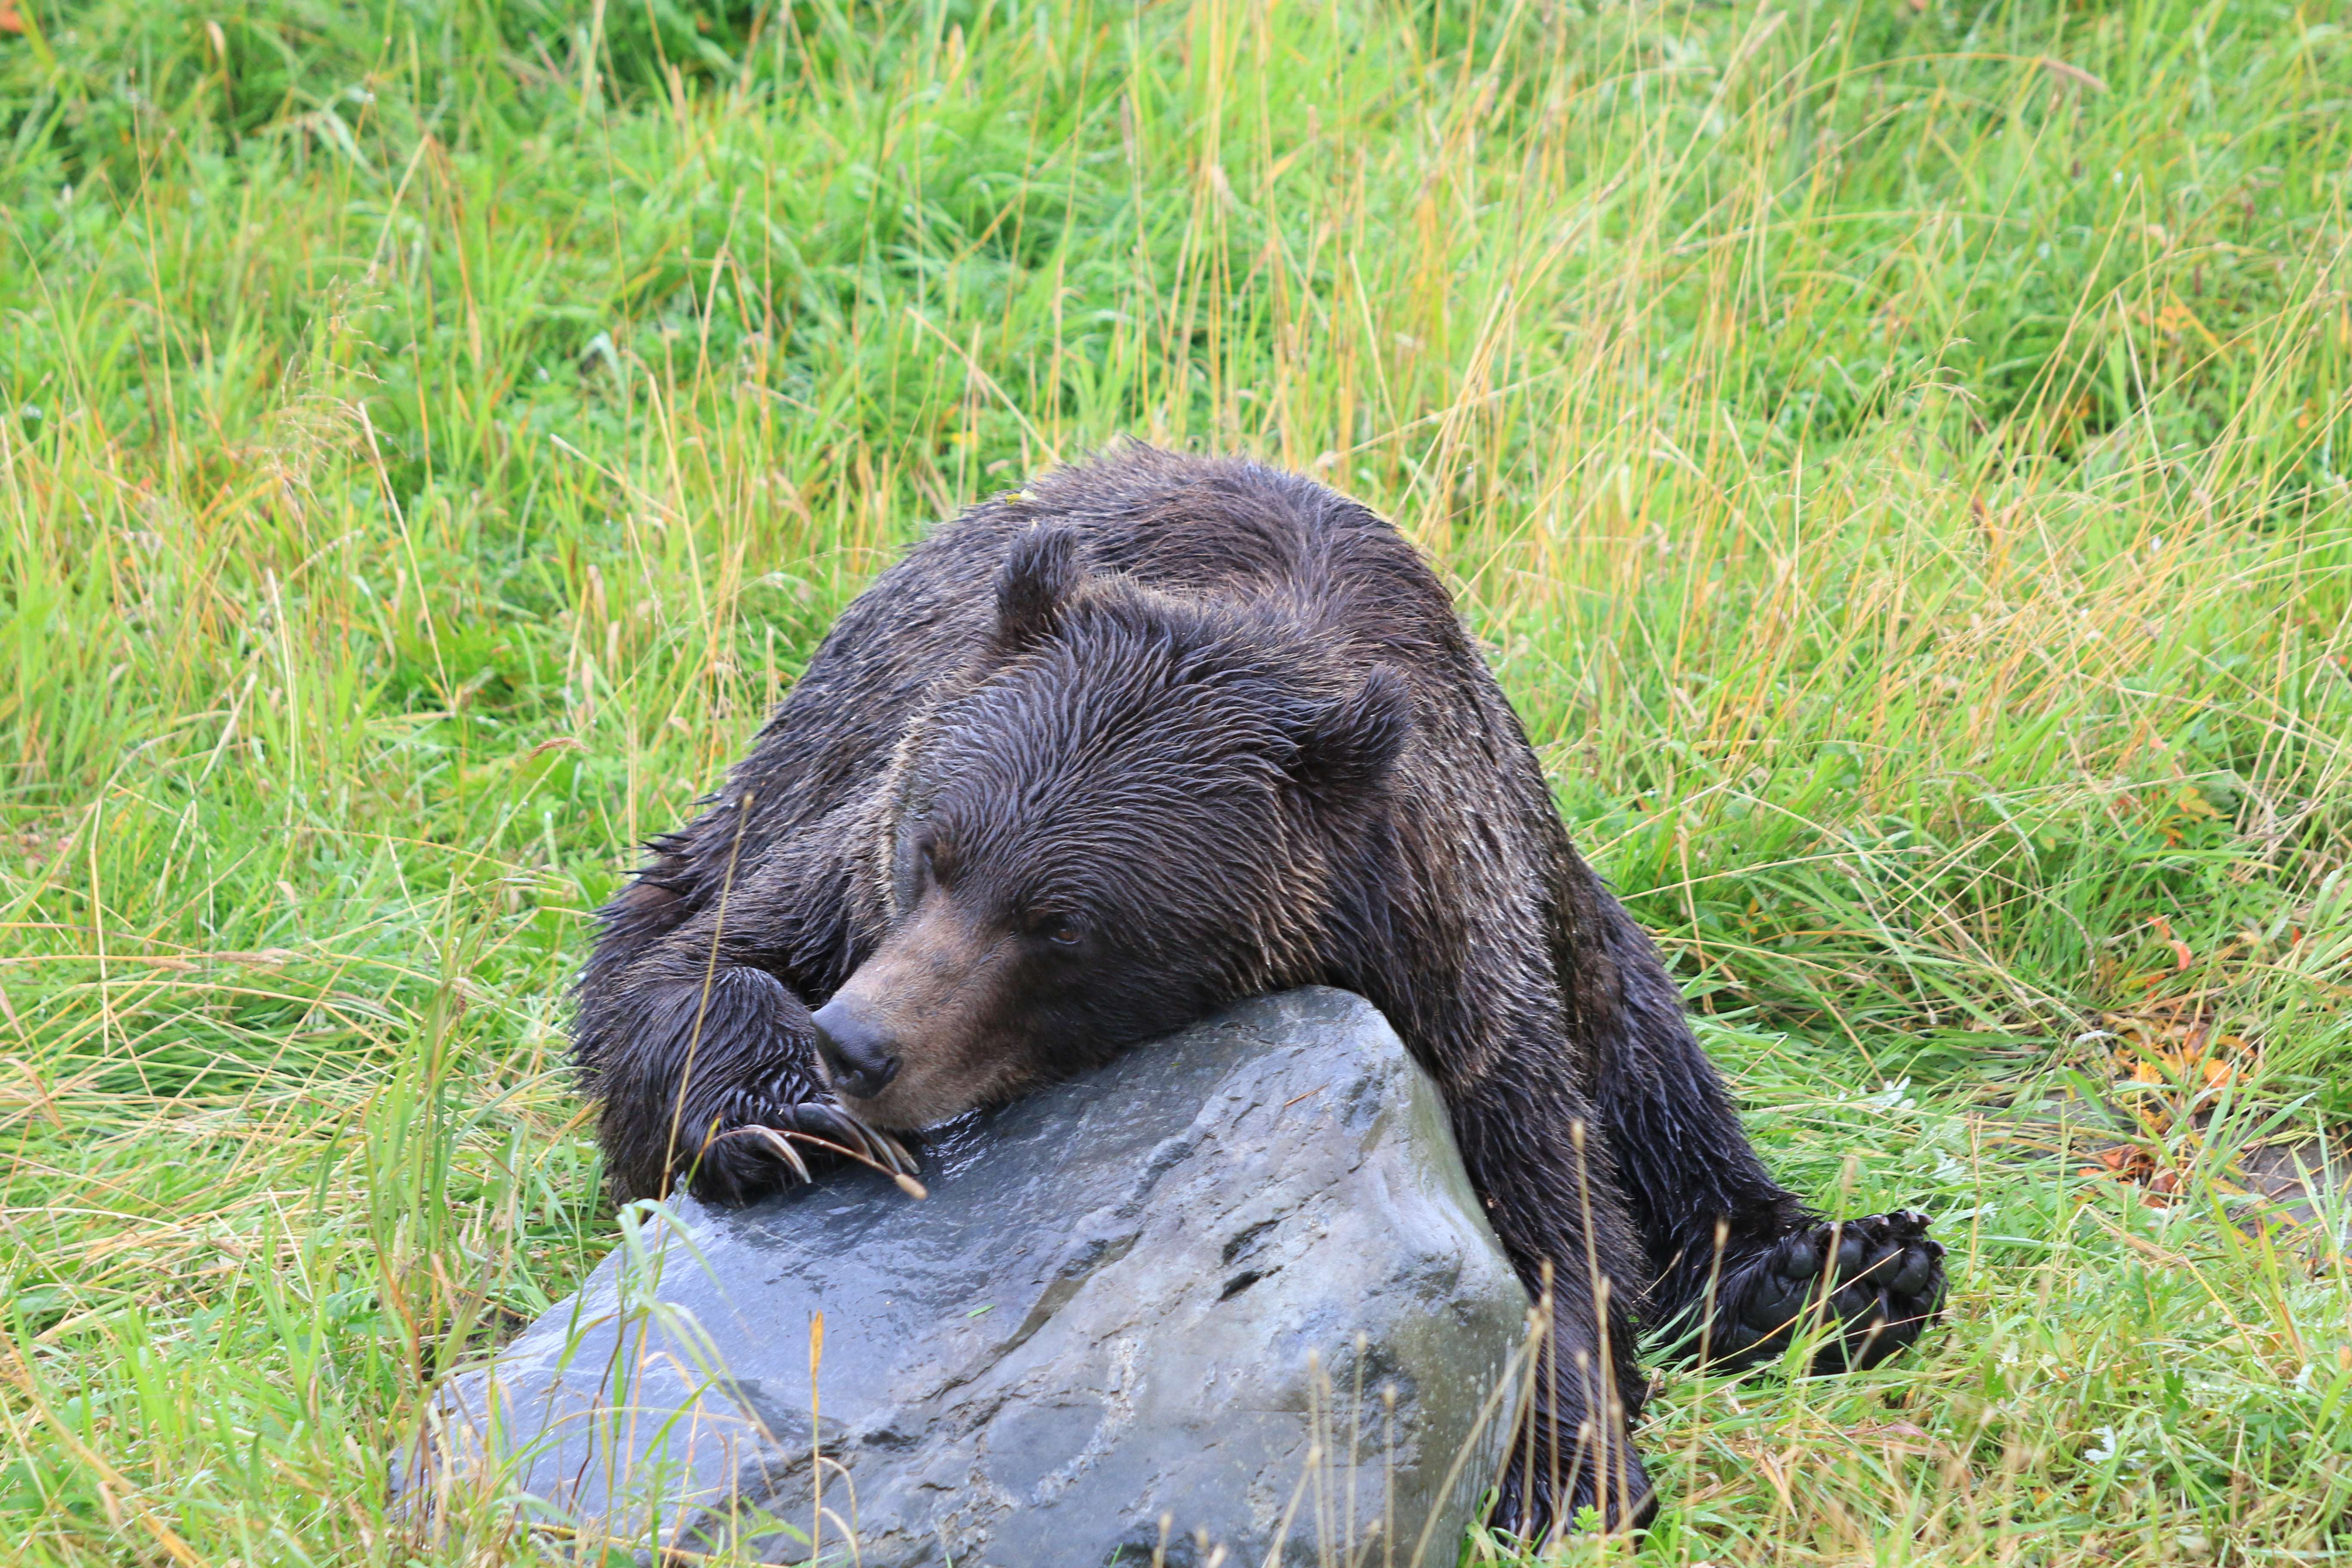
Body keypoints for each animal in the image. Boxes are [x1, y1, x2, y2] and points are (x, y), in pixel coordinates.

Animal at [571, 443, 1946, 1536]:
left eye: (1060, 925)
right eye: (936, 851)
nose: (861, 1044)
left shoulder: (1456, 960)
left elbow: (1555, 1218)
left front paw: (1559, 1468)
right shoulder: (846, 848)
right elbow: (687, 960)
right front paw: (786, 1119)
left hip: (1584, 922)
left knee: (1660, 1077)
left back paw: (1847, 1270)